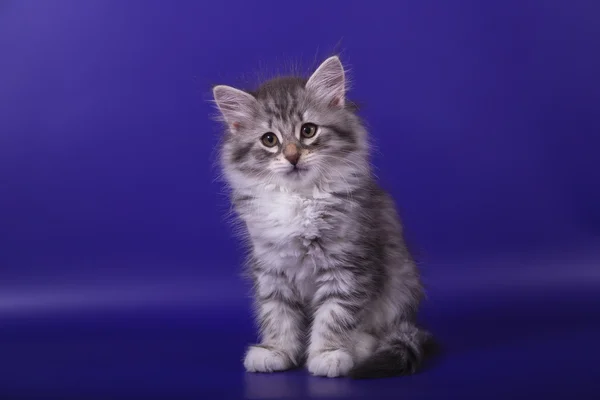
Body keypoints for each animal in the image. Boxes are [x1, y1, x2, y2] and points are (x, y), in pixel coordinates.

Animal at [211, 55, 432, 378]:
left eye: (308, 131)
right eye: (269, 140)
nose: (292, 156)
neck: (299, 198)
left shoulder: (347, 266)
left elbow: (335, 314)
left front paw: (328, 354)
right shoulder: (272, 268)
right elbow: (277, 313)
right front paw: (276, 350)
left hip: (401, 283)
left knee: (385, 329)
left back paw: (361, 346)